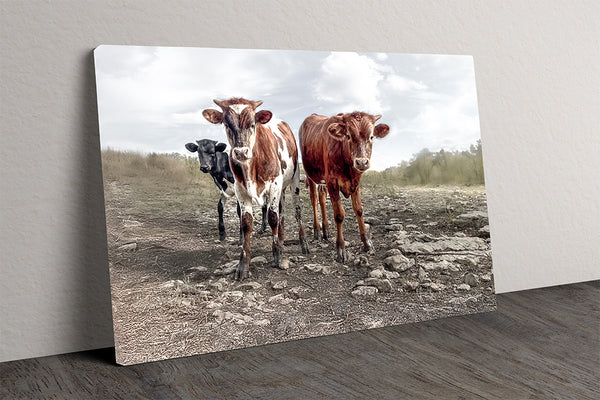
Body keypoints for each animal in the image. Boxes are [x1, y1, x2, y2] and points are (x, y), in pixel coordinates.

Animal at [205, 97, 312, 280]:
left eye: (253, 124)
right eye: (226, 124)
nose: (241, 152)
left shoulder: (274, 184)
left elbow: (272, 217)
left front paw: (277, 256)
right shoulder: (241, 190)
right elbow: (247, 223)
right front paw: (243, 265)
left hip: (294, 180)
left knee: (296, 211)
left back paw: (303, 243)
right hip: (282, 189)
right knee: (282, 211)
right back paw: (281, 239)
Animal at [298, 111, 390, 262]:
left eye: (371, 137)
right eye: (348, 136)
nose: (361, 162)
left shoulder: (355, 182)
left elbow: (359, 209)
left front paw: (367, 243)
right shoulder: (332, 181)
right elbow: (339, 215)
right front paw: (340, 248)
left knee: (322, 198)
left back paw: (326, 229)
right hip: (310, 174)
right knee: (314, 200)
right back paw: (317, 230)